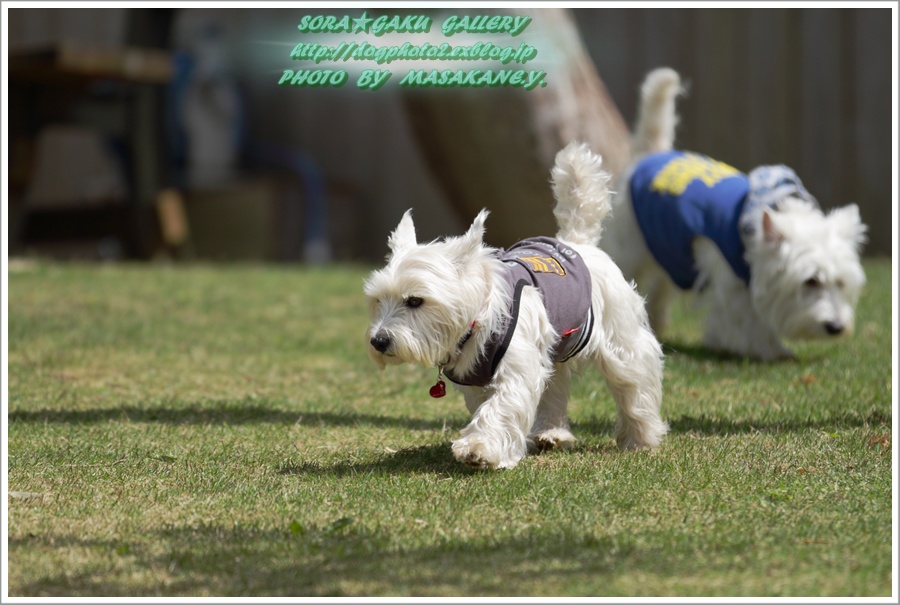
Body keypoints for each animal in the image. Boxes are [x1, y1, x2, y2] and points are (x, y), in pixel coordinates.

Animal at [362, 143, 664, 472]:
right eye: (378, 300)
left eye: (415, 300)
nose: (378, 341)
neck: (477, 320)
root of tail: (576, 243)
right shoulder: (477, 380)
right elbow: (492, 407)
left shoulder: (516, 367)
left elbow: (500, 408)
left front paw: (479, 448)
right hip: (554, 348)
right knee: (555, 388)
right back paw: (551, 434)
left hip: (620, 341)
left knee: (634, 384)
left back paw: (641, 438)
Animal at [600, 67, 868, 358]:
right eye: (810, 281)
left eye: (841, 283)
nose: (836, 328)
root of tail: (651, 154)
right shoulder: (733, 286)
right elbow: (747, 319)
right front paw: (770, 350)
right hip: (629, 250)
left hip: (669, 250)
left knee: (660, 288)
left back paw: (658, 325)